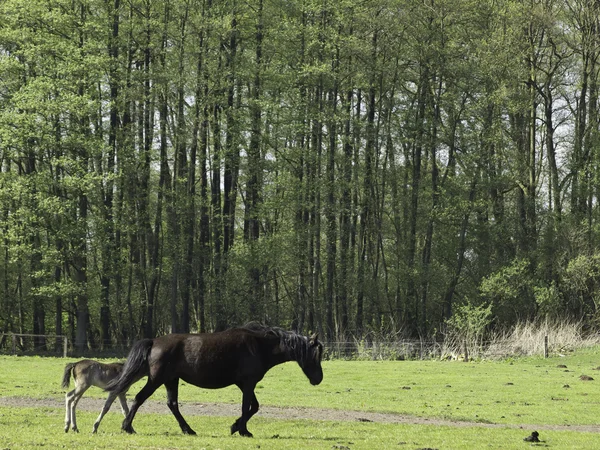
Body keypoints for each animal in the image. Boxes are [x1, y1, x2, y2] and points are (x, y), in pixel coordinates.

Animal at [107, 324, 324, 436]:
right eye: (315, 354)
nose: (319, 379)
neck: (259, 346)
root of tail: (154, 341)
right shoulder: (248, 383)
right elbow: (247, 407)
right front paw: (243, 430)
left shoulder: (245, 384)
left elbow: (254, 407)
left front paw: (236, 427)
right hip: (156, 380)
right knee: (139, 398)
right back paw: (128, 427)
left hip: (171, 380)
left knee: (172, 404)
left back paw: (188, 430)